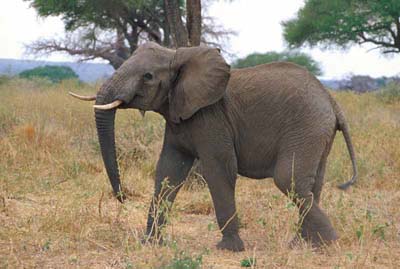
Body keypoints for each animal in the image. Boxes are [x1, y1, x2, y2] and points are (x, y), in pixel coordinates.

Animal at [70, 42, 358, 251]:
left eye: (148, 76)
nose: (122, 198)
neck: (176, 53)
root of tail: (332, 101)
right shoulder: (179, 116)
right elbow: (168, 171)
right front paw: (150, 244)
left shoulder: (211, 118)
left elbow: (219, 170)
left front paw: (229, 249)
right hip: (317, 132)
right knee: (311, 184)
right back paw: (305, 245)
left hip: (307, 126)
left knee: (289, 180)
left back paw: (329, 244)